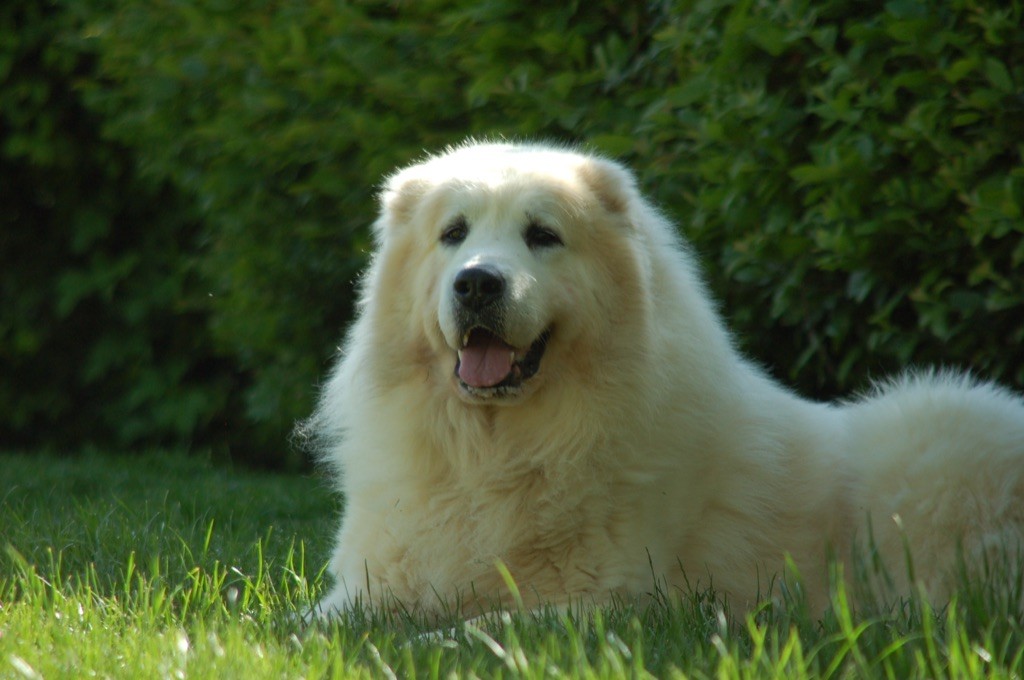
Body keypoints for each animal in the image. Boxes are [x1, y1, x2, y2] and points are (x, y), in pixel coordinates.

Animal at [305, 140, 1024, 618]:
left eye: (542, 235)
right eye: (453, 233)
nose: (477, 282)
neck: (496, 449)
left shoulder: (612, 600)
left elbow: (477, 628)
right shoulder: (366, 588)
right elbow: (311, 625)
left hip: (931, 436)